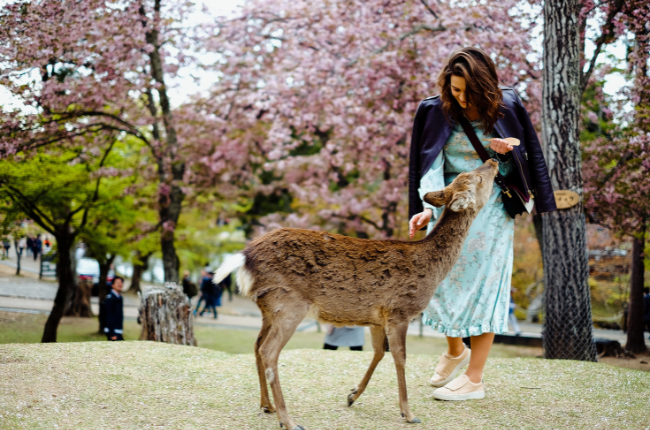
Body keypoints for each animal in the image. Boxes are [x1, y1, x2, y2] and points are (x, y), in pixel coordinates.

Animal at [213, 159, 496, 430]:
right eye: (478, 178)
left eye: (467, 175)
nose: (493, 160)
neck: (433, 270)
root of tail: (244, 257)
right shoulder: (400, 310)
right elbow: (400, 358)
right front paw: (408, 414)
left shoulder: (377, 317)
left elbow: (379, 352)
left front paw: (352, 395)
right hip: (289, 303)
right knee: (269, 351)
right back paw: (289, 420)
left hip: (268, 308)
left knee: (256, 345)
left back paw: (267, 405)